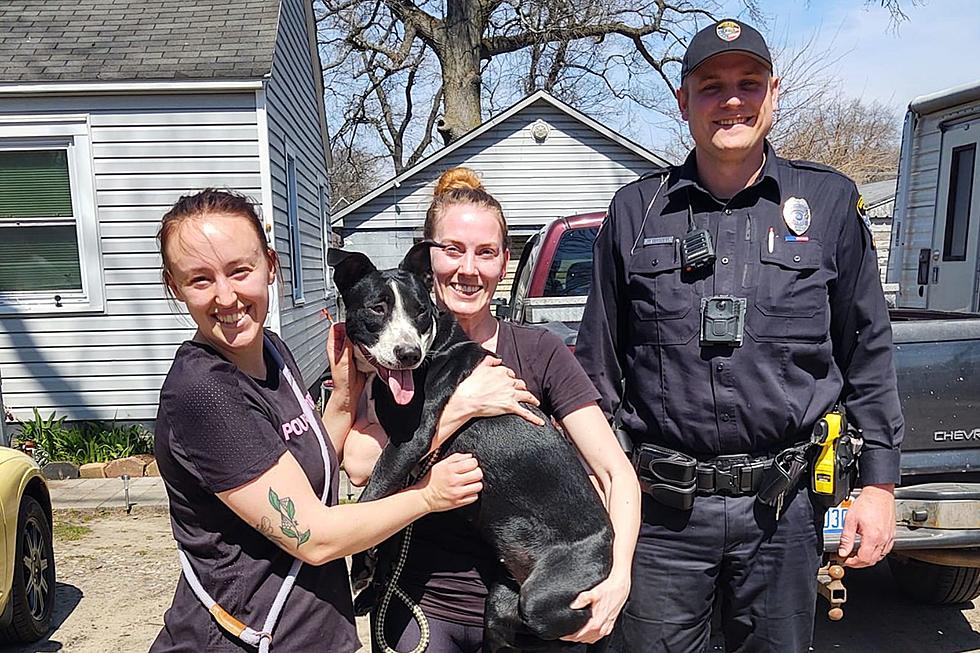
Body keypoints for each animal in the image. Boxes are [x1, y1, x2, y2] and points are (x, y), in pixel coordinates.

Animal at [332, 243, 612, 652]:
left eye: (420, 311)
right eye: (377, 308)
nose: (407, 354)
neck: (434, 350)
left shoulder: (409, 443)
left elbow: (369, 501)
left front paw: (359, 565)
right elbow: (388, 522)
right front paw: (372, 582)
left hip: (546, 597)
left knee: (569, 625)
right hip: (500, 600)